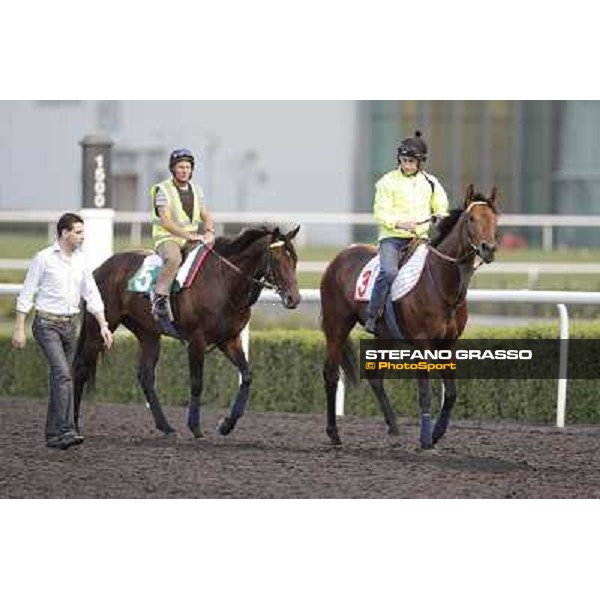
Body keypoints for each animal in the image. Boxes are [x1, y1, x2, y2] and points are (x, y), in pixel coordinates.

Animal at [74, 225, 300, 436]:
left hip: (148, 334)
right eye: (277, 259)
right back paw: (74, 425)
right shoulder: (197, 340)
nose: (294, 299)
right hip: (99, 328)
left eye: (295, 259)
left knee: (146, 376)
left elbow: (247, 376)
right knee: (81, 369)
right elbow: (197, 382)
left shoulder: (229, 339)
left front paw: (226, 424)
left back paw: (166, 427)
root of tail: (99, 268)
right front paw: (195, 427)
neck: (224, 283)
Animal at [322, 188, 500, 450]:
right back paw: (334, 433)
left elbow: (451, 393)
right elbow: (424, 393)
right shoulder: (422, 343)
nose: (488, 248)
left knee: (375, 377)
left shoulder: (449, 344)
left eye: (494, 219)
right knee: (331, 375)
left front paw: (437, 433)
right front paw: (426, 439)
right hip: (336, 326)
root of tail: (339, 257)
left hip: (384, 336)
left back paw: (393, 425)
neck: (441, 284)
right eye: (471, 219)